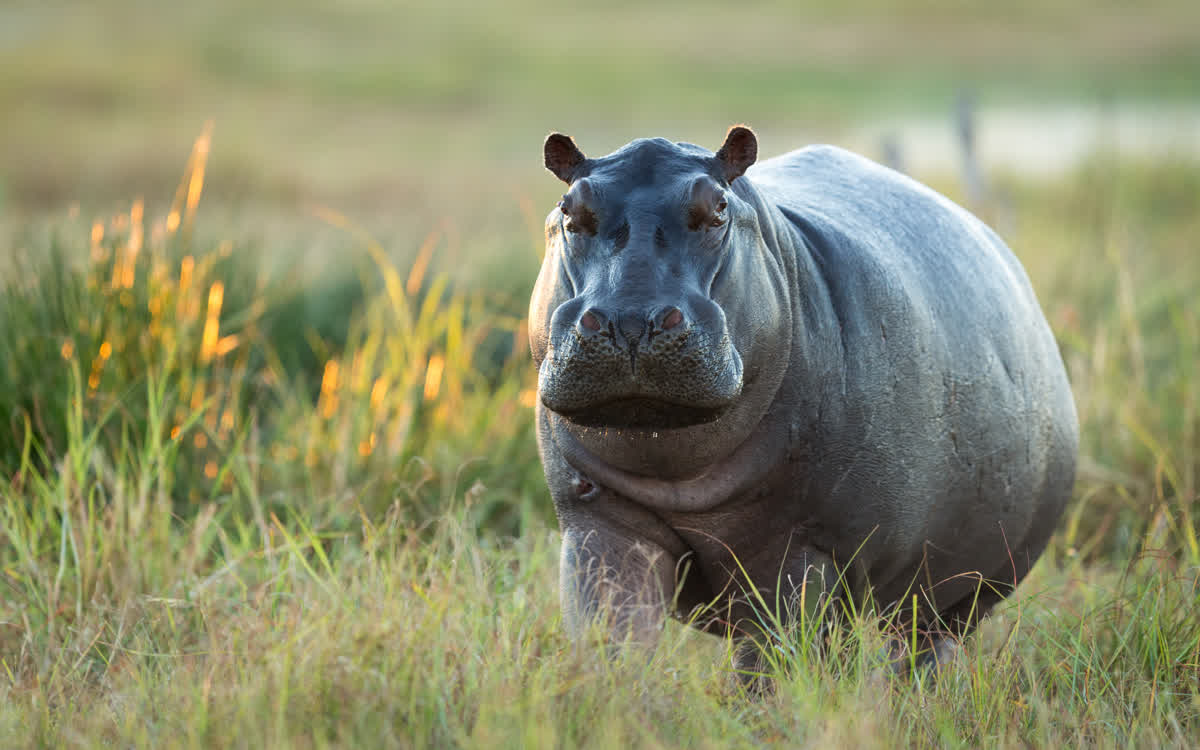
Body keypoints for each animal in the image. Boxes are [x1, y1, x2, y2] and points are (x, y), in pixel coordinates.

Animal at [529, 126, 1078, 678]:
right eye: (569, 210)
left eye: (719, 207)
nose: (630, 321)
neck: (678, 476)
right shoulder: (600, 524)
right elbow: (612, 636)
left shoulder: (804, 549)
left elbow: (773, 661)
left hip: (959, 592)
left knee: (923, 646)